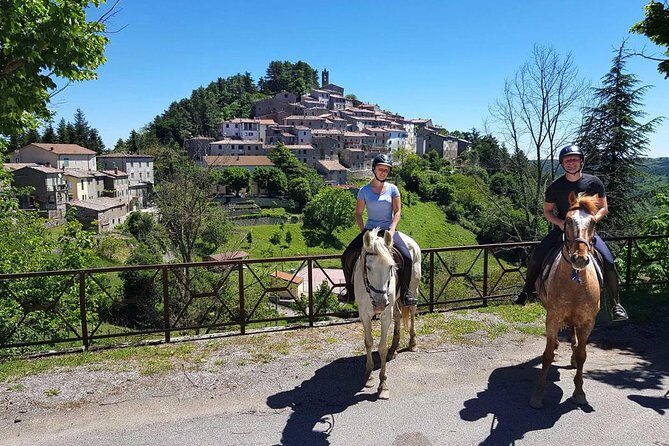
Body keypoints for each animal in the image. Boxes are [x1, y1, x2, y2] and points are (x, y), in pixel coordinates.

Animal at [354, 228, 422, 400]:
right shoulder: (364, 314)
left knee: (412, 312)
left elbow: (382, 348)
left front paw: (383, 384)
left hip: (413, 287)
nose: (379, 302)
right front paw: (369, 375)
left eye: (391, 267)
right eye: (368, 267)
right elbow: (368, 342)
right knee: (398, 315)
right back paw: (394, 349)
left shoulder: (385, 315)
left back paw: (412, 342)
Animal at [530, 192, 602, 409]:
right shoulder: (552, 318)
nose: (580, 258)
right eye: (568, 220)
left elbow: (582, 354)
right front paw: (538, 394)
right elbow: (546, 355)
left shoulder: (587, 322)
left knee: (574, 339)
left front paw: (579, 392)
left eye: (593, 222)